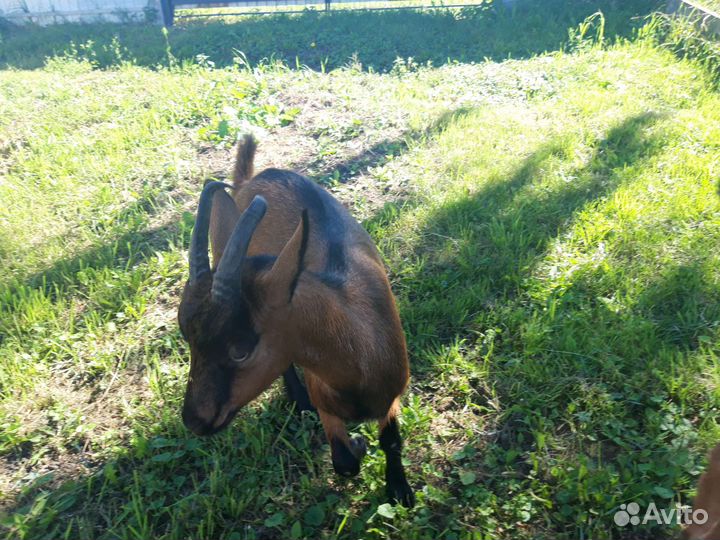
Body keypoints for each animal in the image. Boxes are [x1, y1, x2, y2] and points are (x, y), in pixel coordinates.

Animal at [177, 135, 415, 507]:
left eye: (240, 350)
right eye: (187, 338)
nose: (194, 421)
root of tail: (254, 178)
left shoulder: (392, 393)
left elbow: (391, 440)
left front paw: (400, 490)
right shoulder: (324, 397)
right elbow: (344, 462)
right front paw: (358, 446)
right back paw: (298, 401)